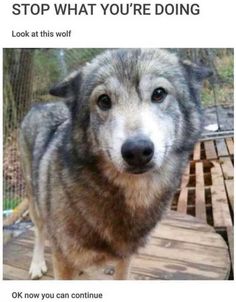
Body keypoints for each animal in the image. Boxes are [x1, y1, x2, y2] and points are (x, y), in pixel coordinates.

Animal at [20, 48, 211, 280]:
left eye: (158, 93)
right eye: (104, 100)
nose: (137, 151)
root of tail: (41, 105)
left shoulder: (125, 257)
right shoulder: (62, 259)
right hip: (35, 202)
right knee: (39, 232)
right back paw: (37, 264)